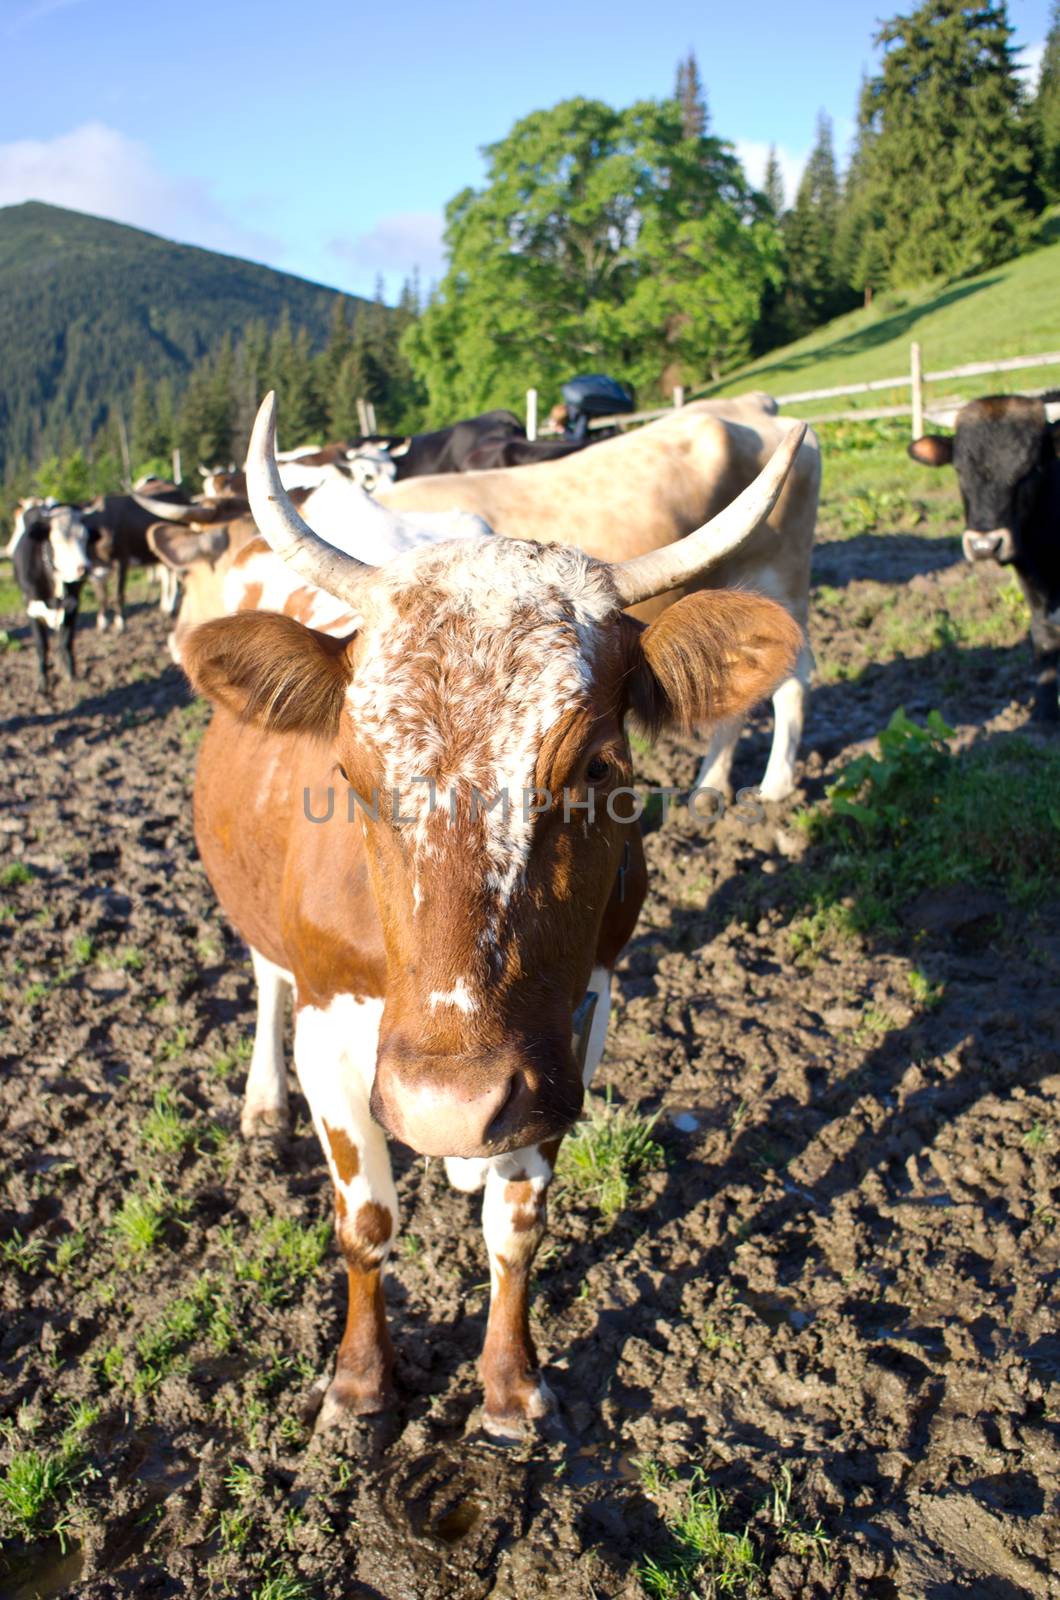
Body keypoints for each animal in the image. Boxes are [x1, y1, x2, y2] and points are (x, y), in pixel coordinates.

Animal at [11, 505, 92, 694]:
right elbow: (41, 646)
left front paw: (70, 675)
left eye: (85, 538)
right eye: (59, 540)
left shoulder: (72, 606)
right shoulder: (32, 610)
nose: (85, 569)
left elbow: (66, 642)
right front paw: (43, 684)